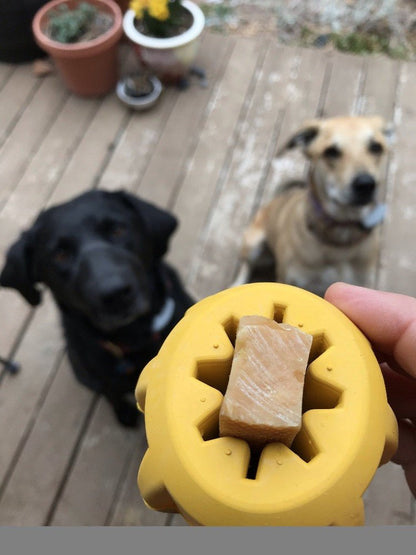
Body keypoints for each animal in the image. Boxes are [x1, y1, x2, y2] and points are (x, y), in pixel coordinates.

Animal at [0, 189, 194, 428]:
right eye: (60, 254)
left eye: (118, 229)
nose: (115, 294)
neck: (135, 335)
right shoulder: (104, 380)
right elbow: (112, 395)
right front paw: (125, 414)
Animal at [234, 115, 394, 298]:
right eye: (331, 151)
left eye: (376, 147)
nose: (365, 184)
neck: (340, 240)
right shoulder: (288, 278)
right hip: (253, 243)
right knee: (246, 265)